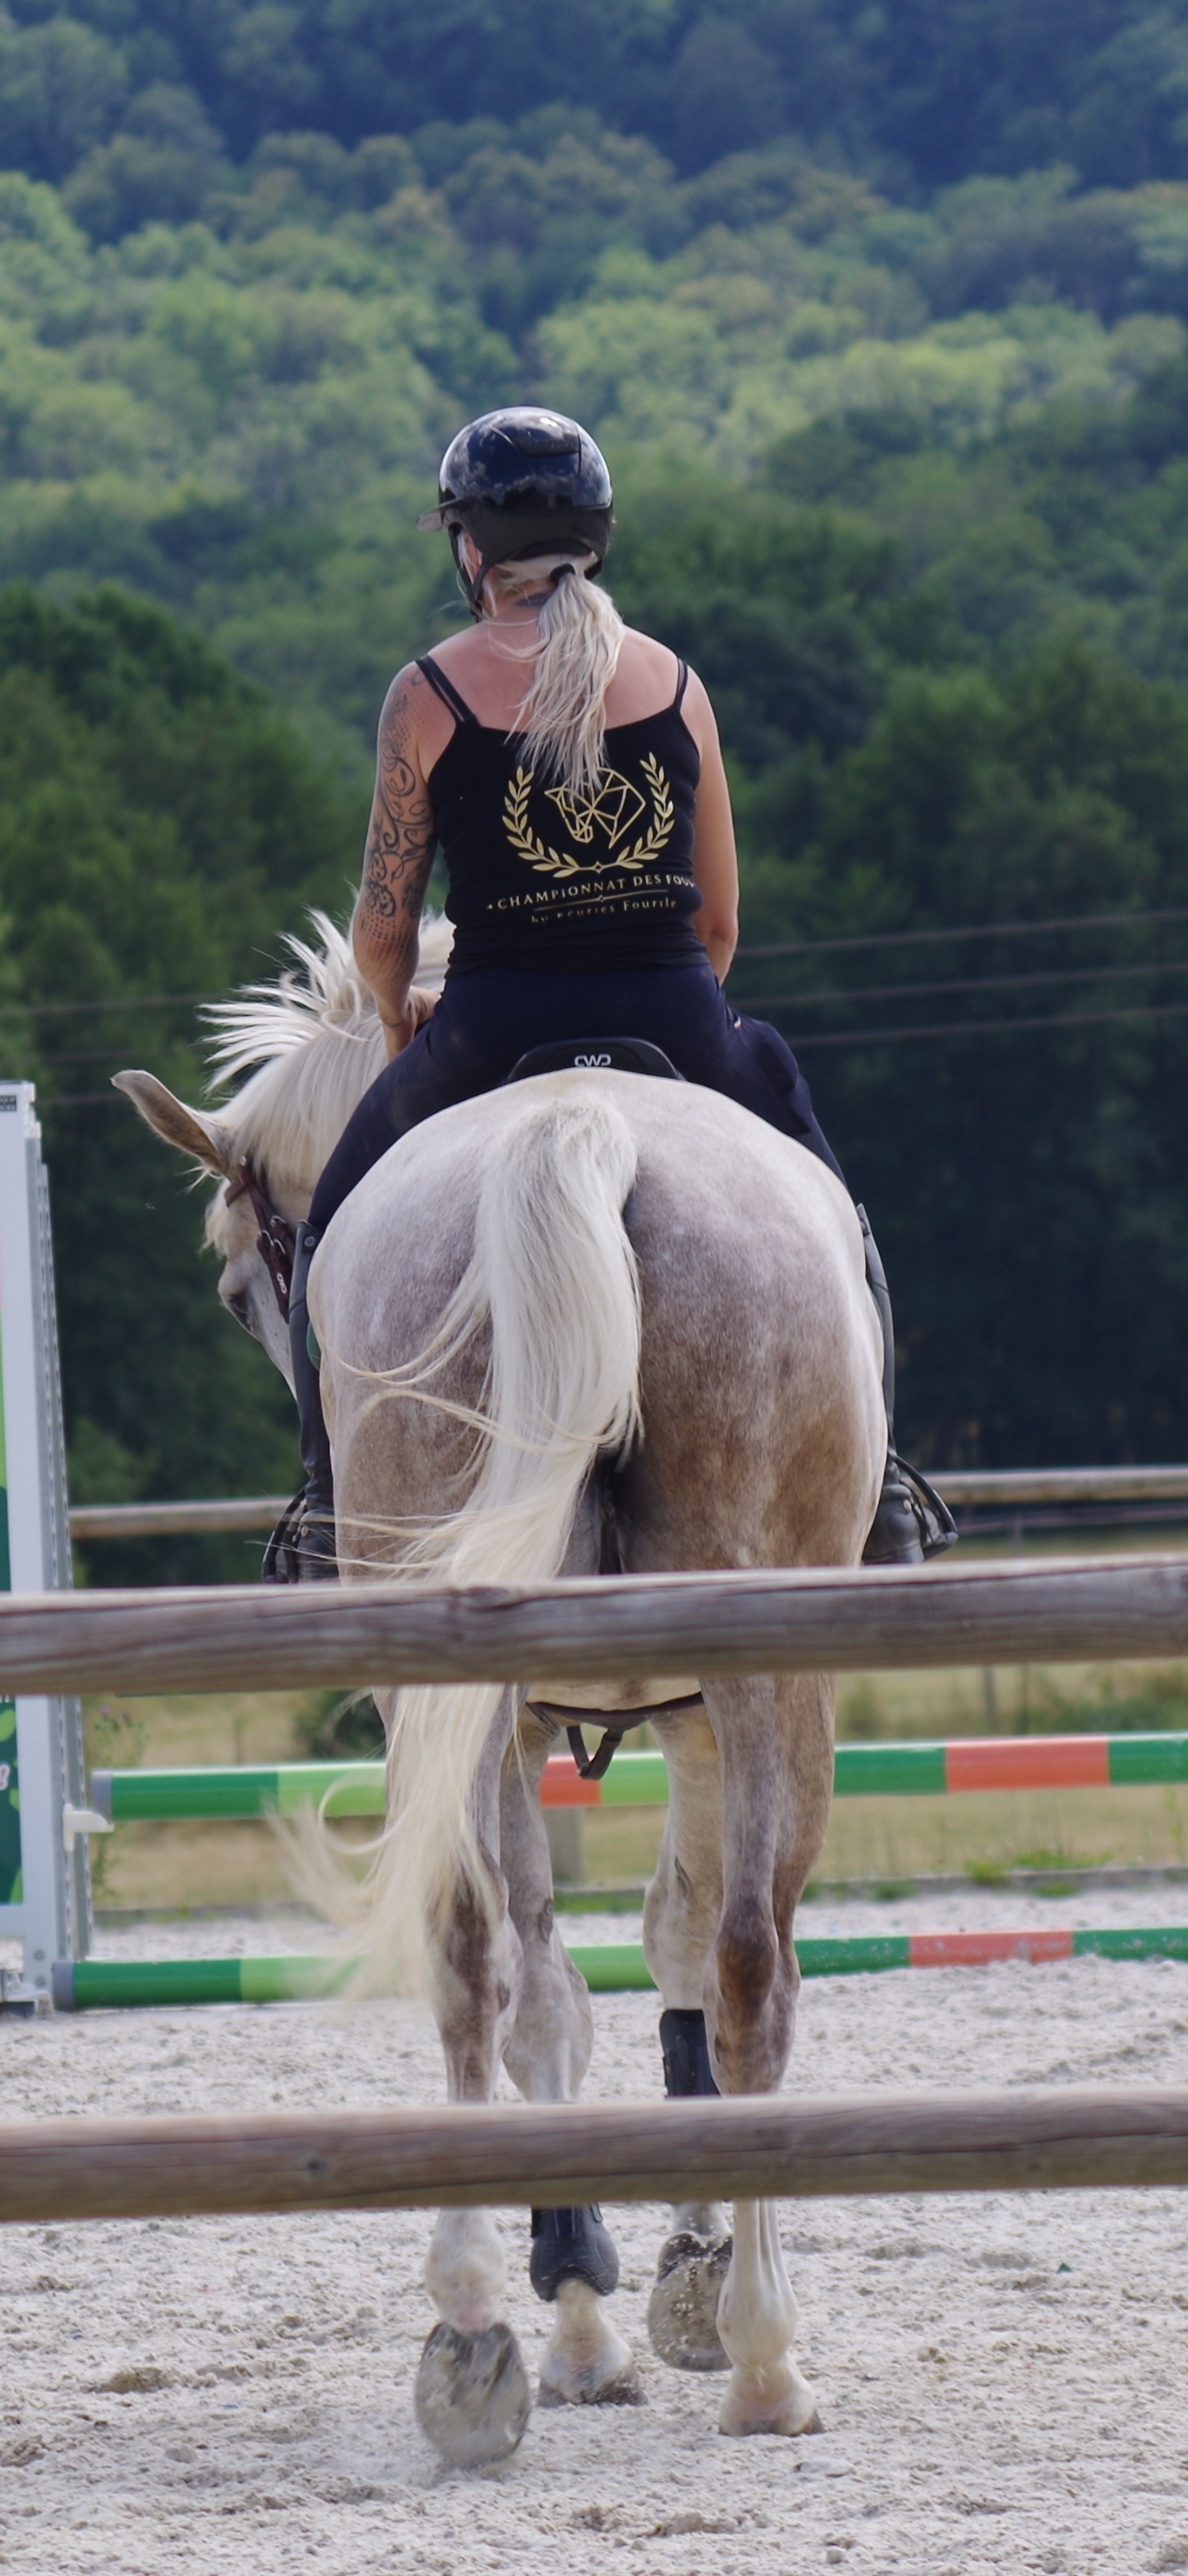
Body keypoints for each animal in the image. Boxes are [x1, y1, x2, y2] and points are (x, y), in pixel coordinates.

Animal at [116, 912, 885, 2468]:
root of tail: (576, 1124)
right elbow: (661, 1959)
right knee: (734, 1970)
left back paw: (483, 2330)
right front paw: (679, 2275)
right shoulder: (691, 1718)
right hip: (762, 1676)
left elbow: (596, 1972)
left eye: (239, 1284)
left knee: (485, 1962)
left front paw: (618, 2282)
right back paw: (748, 2354)